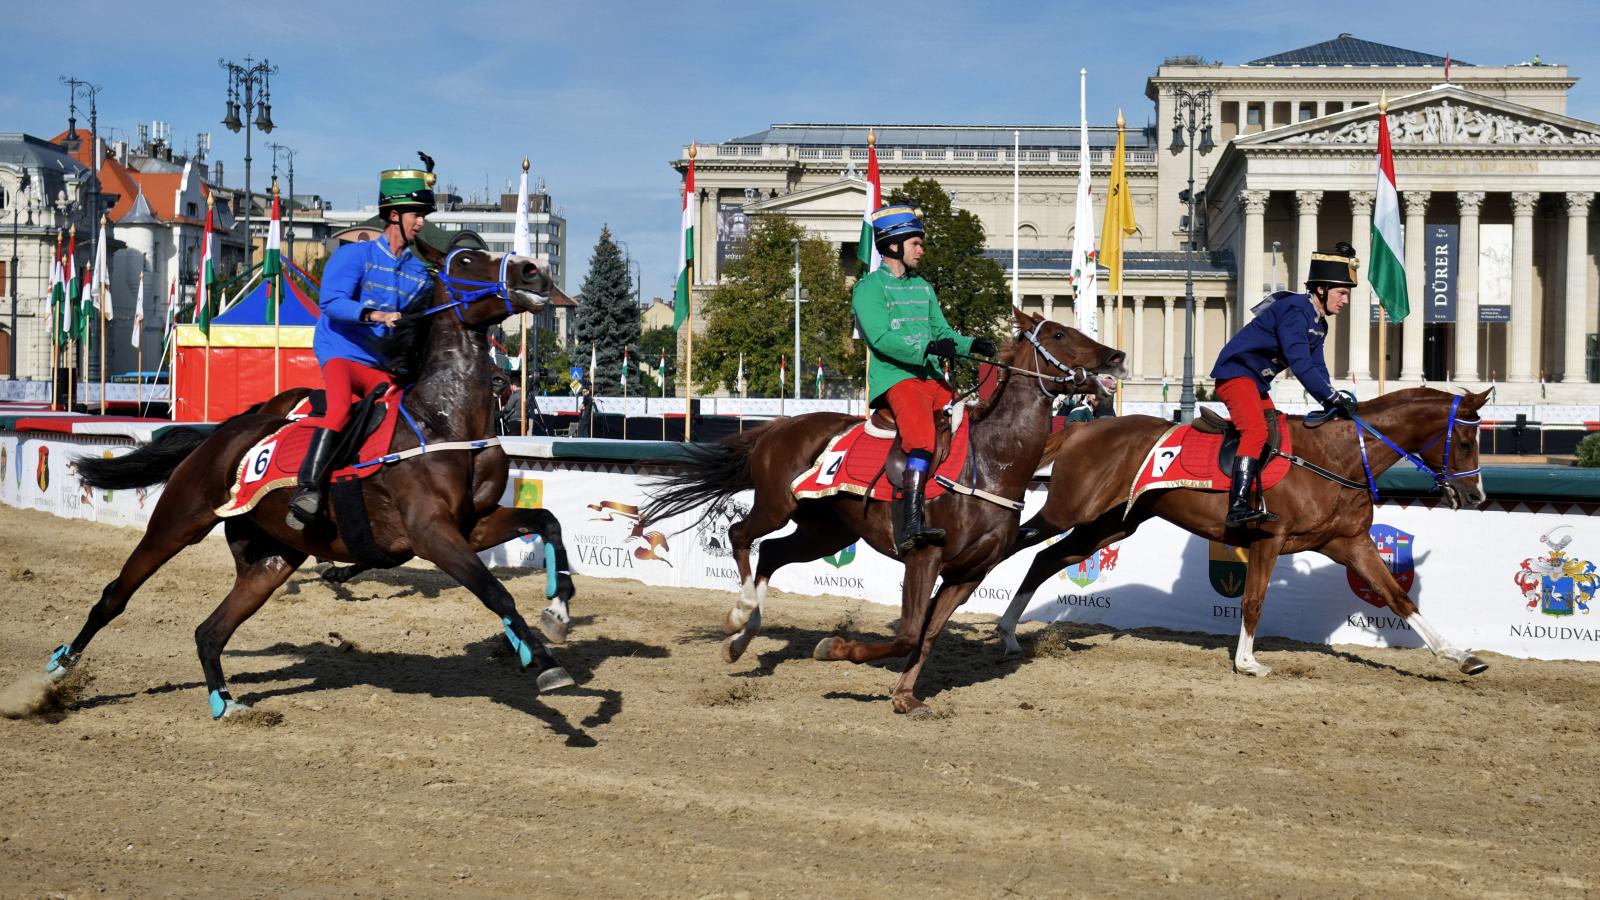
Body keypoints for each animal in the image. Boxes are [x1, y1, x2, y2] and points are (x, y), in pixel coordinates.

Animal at [68, 240, 585, 714]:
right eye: (465, 259)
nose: (534, 270)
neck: (444, 419)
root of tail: (221, 431)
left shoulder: (471, 524)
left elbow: (547, 521)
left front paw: (558, 611)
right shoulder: (430, 532)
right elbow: (495, 591)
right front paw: (544, 662)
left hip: (272, 557)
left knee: (210, 630)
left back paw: (225, 702)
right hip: (179, 521)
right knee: (115, 595)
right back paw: (60, 671)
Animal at [636, 310, 1126, 714]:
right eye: (1060, 334)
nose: (1117, 356)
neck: (990, 462)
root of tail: (780, 426)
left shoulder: (969, 574)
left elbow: (927, 636)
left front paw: (905, 697)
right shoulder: (924, 558)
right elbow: (908, 633)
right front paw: (834, 649)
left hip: (827, 533)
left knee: (772, 553)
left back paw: (742, 639)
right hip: (776, 506)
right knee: (740, 535)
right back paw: (740, 616)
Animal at [992, 385, 1491, 672]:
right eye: (1466, 441)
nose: (1476, 497)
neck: (1337, 456)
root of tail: (1081, 430)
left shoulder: (1350, 543)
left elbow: (1397, 597)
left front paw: (1459, 655)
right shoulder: (1268, 539)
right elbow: (1253, 601)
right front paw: (1247, 661)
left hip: (1109, 525)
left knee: (1046, 558)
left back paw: (1009, 634)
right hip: (1069, 511)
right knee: (1016, 544)